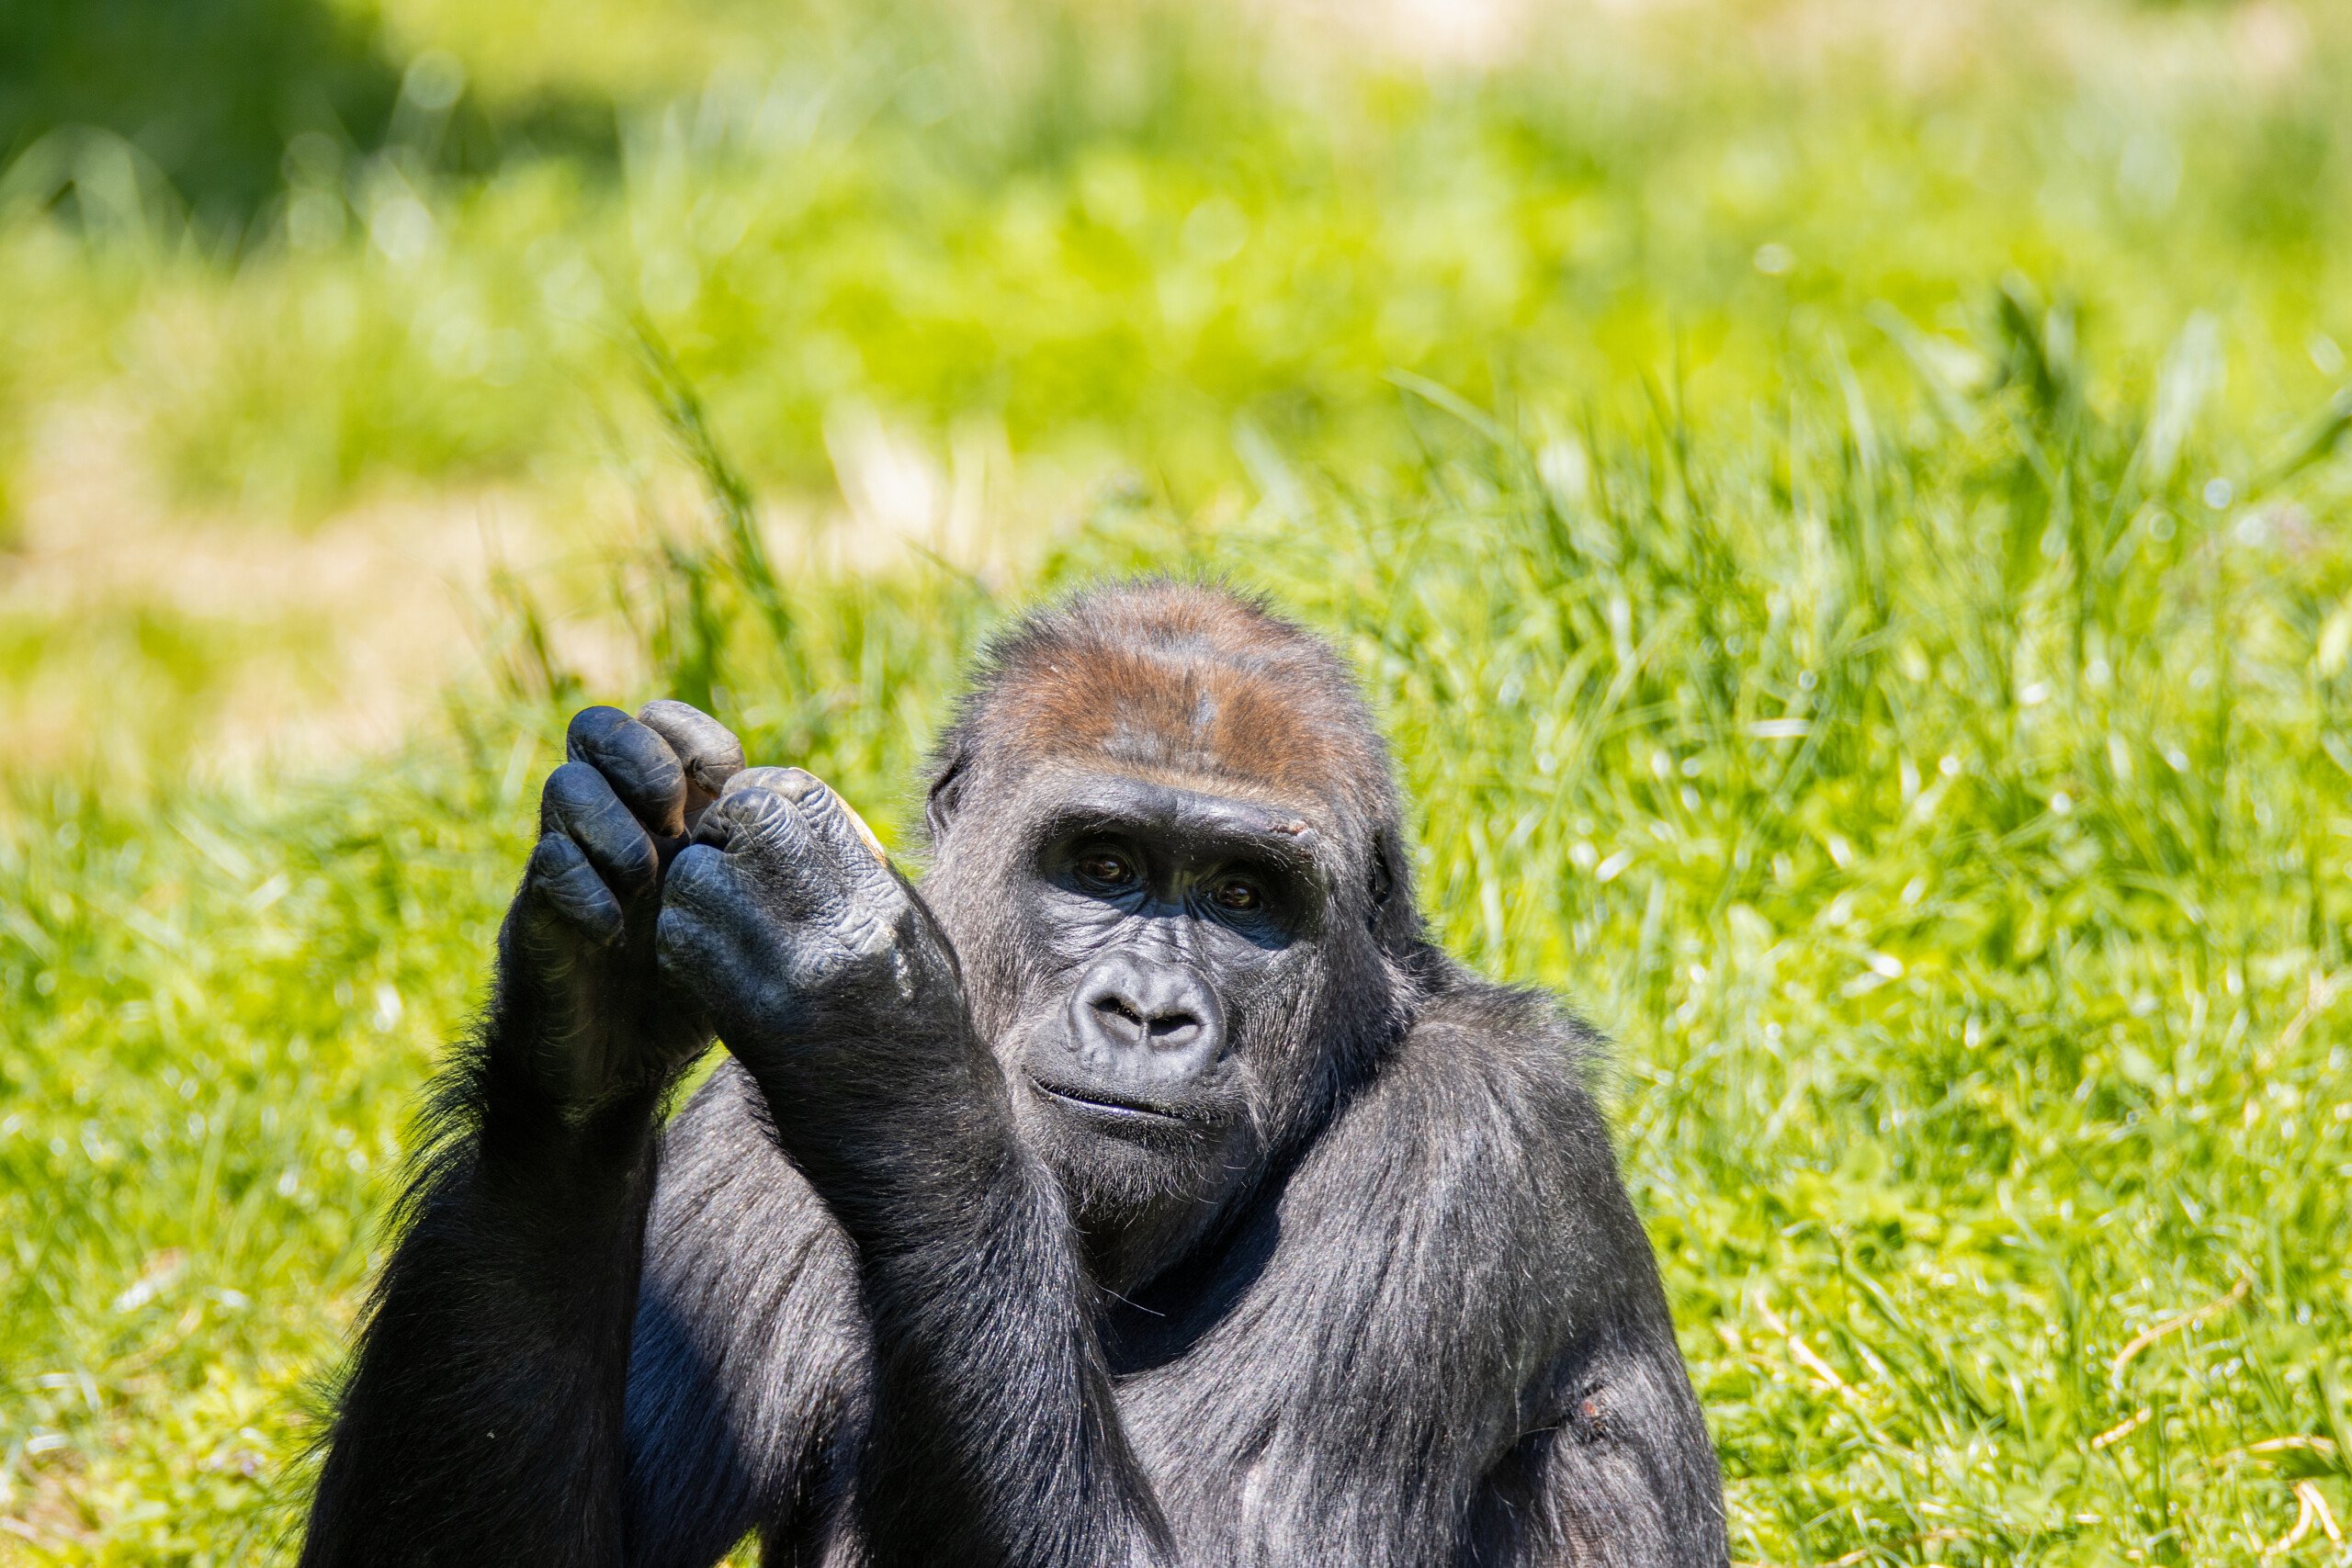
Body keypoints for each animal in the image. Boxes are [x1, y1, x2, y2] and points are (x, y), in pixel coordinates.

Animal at [299, 581, 1731, 1568]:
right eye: (1100, 865)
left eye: (1243, 897)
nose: (1149, 1011)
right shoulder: (736, 1148)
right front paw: (586, 990)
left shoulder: (1475, 1140)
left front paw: (881, 1037)